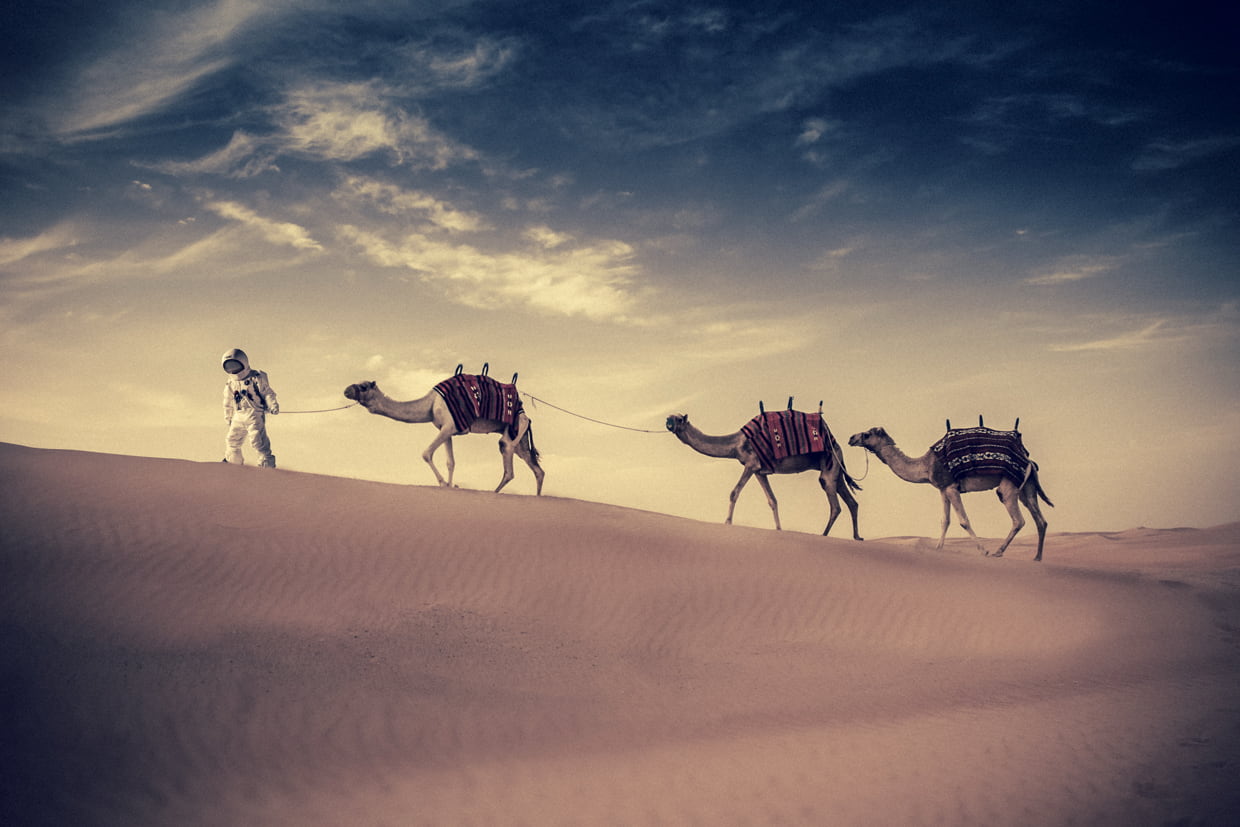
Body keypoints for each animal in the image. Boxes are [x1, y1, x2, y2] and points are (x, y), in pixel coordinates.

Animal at [343, 380, 544, 494]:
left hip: (515, 427)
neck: (431, 404)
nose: (346, 390)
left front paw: (442, 483)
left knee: (506, 449)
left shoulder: (448, 426)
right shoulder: (448, 430)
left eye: (363, 386)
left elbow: (426, 453)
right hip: (520, 439)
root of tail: (525, 415)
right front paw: (450, 485)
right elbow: (451, 462)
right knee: (537, 470)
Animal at [665, 413, 862, 539]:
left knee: (835, 505)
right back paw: (856, 537)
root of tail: (837, 445)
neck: (736, 444)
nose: (667, 421)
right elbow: (772, 500)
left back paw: (824, 535)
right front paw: (779, 529)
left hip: (829, 466)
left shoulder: (751, 463)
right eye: (670, 417)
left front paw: (727, 523)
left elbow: (734, 492)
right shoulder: (760, 471)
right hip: (836, 470)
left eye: (678, 419)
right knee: (851, 501)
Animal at [847, 427, 1052, 561]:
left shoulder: (952, 487)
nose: (851, 438)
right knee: (1040, 520)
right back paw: (1037, 557)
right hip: (1027, 488)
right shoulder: (942, 489)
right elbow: (945, 520)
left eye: (866, 434)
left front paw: (983, 551)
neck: (925, 465)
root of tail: (1029, 462)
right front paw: (938, 549)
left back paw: (998, 551)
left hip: (1008, 485)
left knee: (1018, 519)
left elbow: (963, 520)